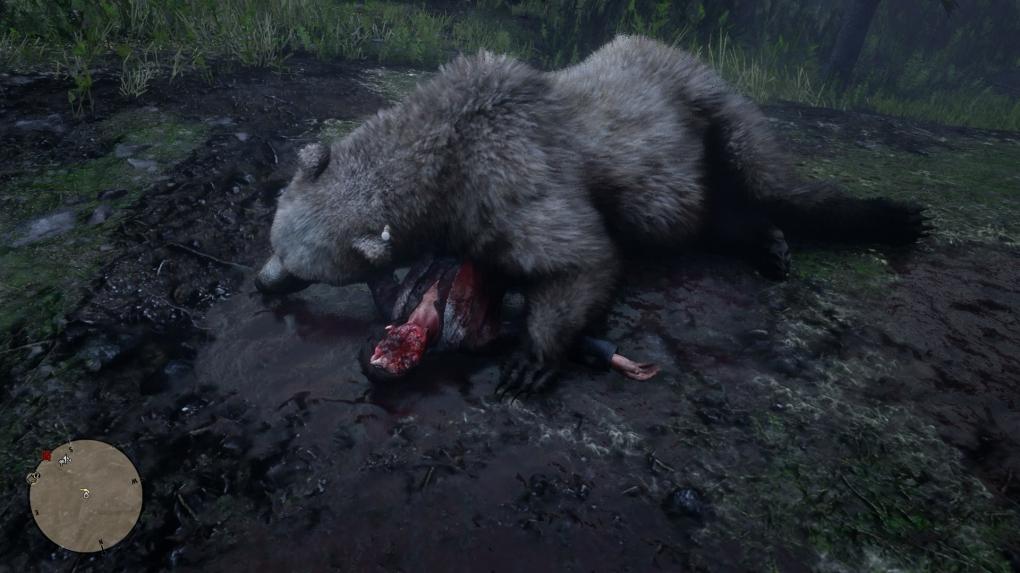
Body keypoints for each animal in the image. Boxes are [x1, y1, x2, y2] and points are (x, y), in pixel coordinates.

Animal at [255, 35, 926, 396]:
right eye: (276, 241)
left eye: (301, 265)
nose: (262, 282)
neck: (447, 149)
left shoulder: (514, 178)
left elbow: (583, 259)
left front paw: (531, 362)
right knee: (715, 213)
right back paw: (769, 243)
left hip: (710, 107)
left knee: (768, 177)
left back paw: (884, 220)